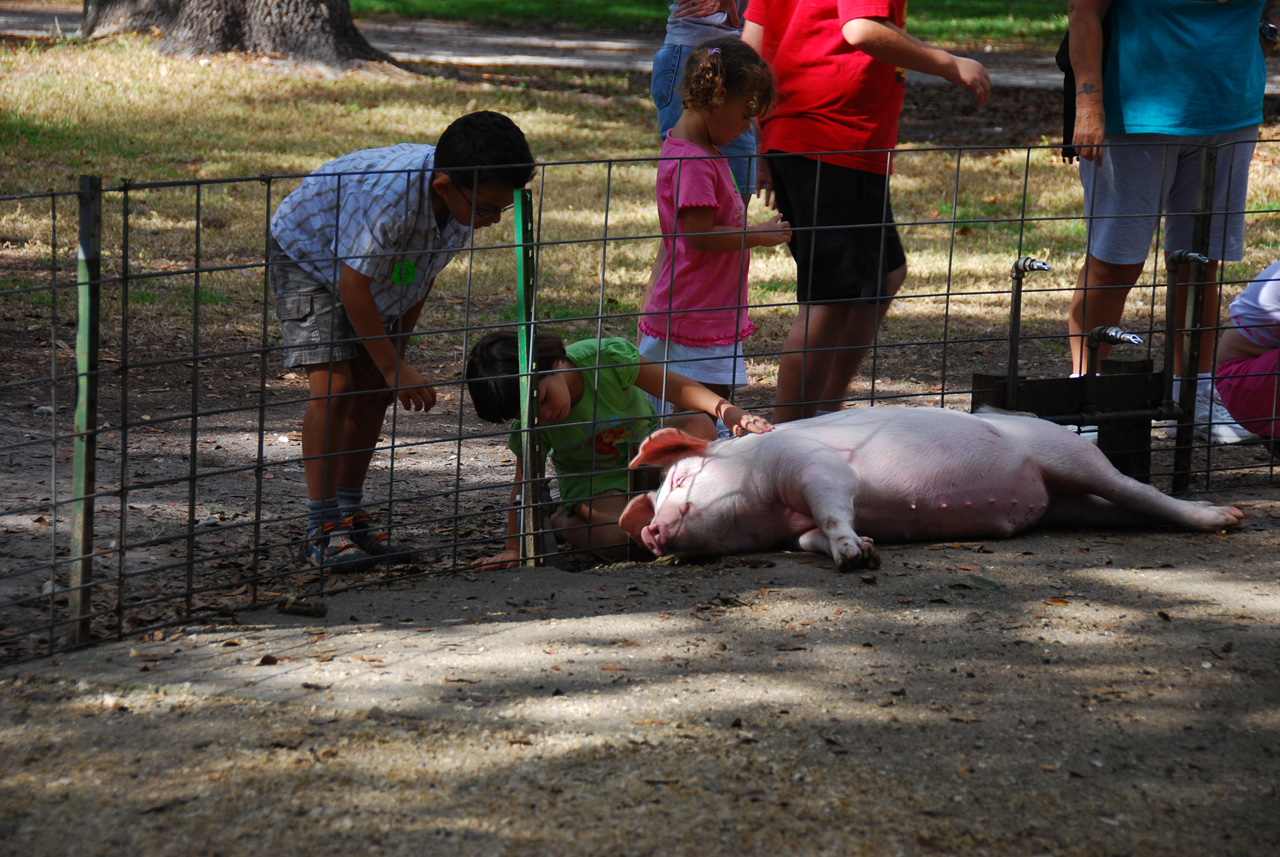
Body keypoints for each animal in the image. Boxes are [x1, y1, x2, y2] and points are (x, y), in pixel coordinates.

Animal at [614, 406, 1244, 573]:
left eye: (681, 478)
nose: (650, 529)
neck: (769, 513)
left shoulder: (816, 466)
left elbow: (833, 507)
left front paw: (855, 556)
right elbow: (811, 538)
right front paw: (864, 547)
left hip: (1070, 455)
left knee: (1136, 489)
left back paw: (1227, 519)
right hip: (1071, 506)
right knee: (1119, 507)